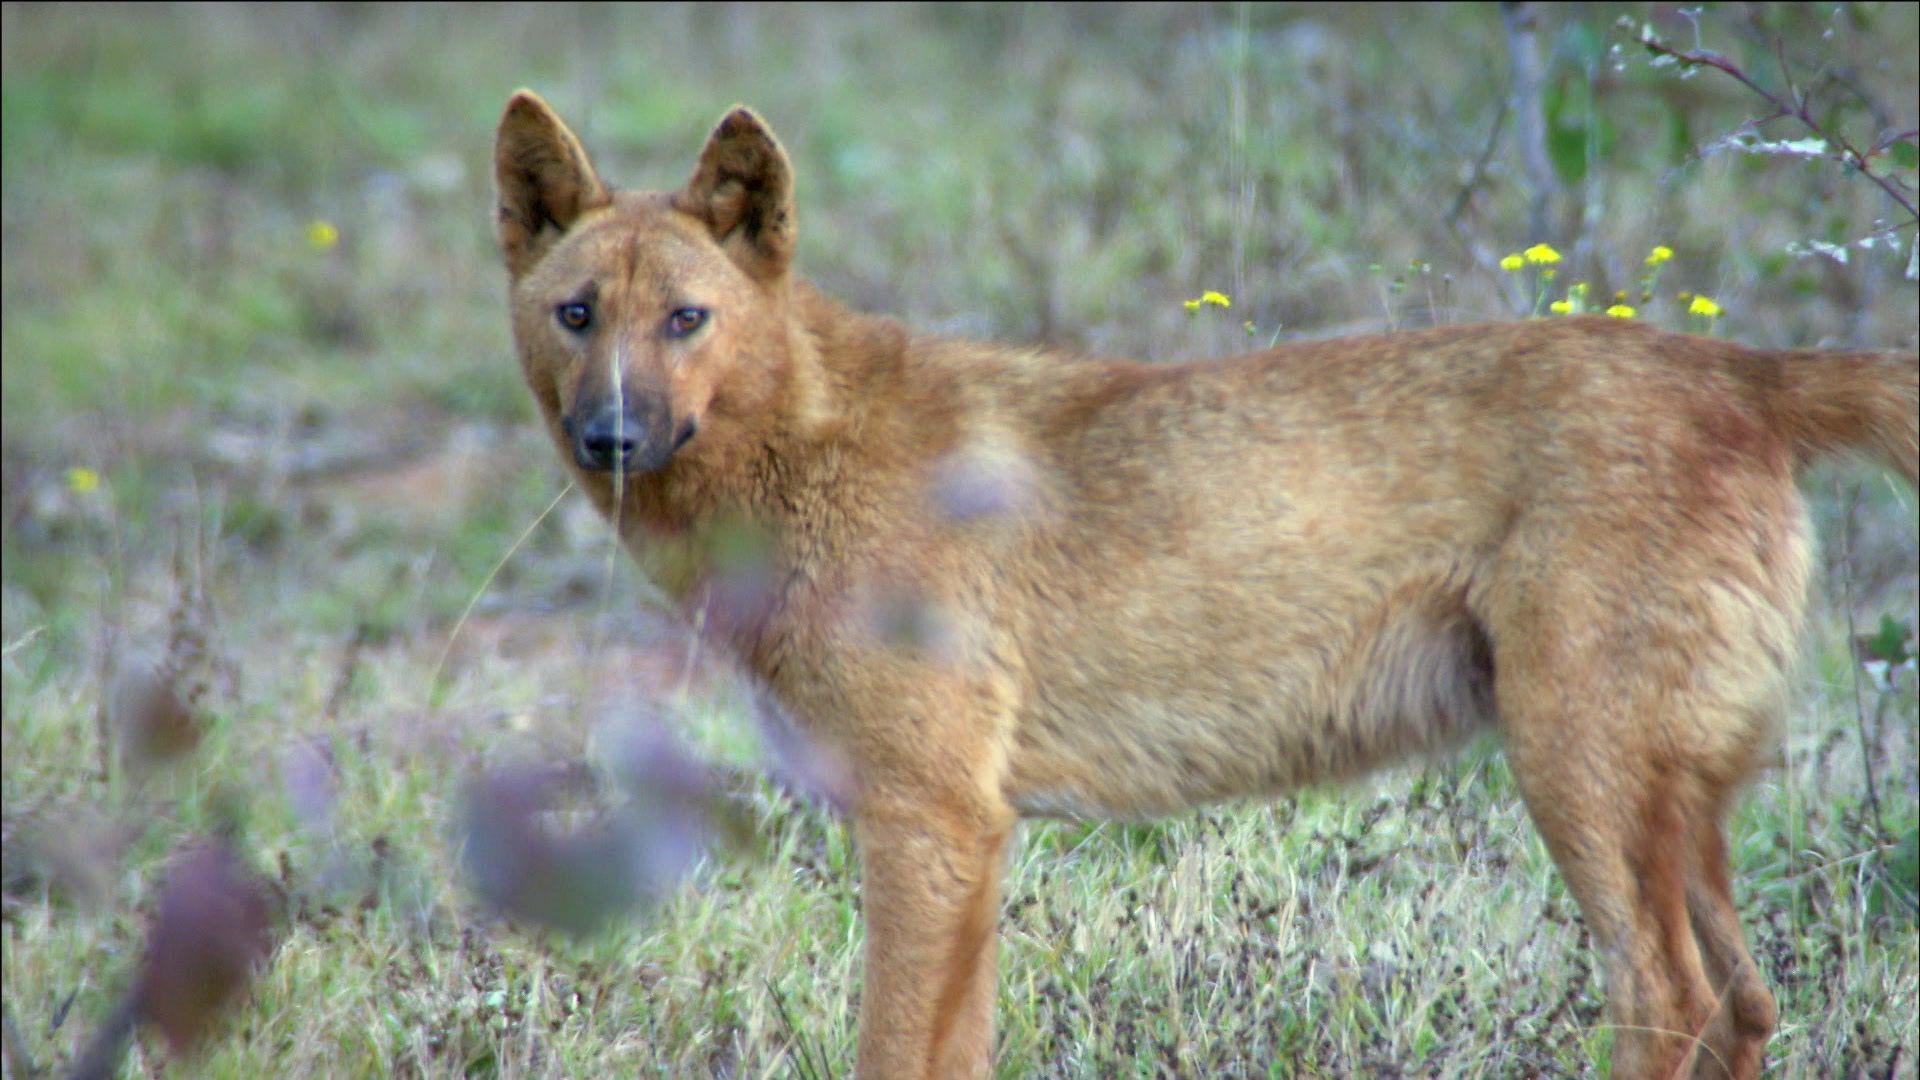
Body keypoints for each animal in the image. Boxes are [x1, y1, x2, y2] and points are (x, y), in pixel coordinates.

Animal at [491, 94, 1920, 1076]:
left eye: (687, 319)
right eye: (577, 315)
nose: (608, 439)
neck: (803, 454)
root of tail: (1741, 370)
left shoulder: (930, 823)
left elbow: (890, 1053)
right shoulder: (963, 843)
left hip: (1576, 773)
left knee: (1669, 998)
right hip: (1673, 805)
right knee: (1746, 1002)